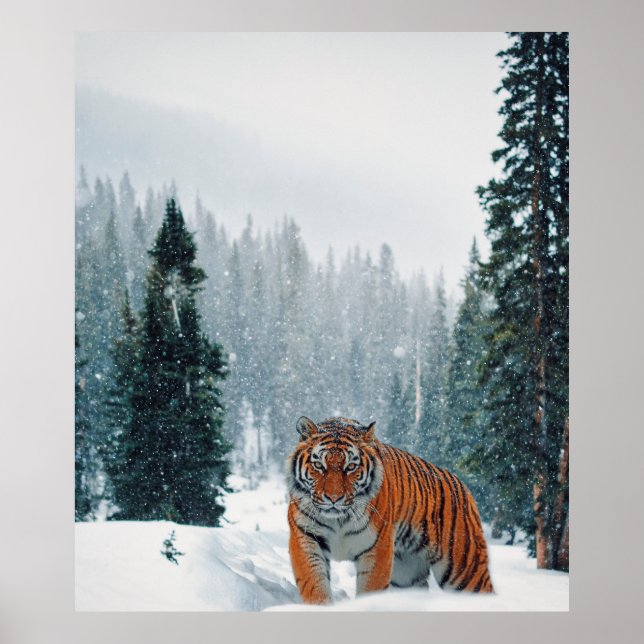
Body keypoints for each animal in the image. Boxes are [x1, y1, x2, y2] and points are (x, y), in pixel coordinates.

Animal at [286, 416, 494, 604]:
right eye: (318, 465)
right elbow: (314, 584)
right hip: (407, 573)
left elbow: (370, 589)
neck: (338, 519)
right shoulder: (306, 538)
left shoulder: (377, 548)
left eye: (351, 467)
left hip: (465, 569)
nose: (334, 498)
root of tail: (462, 485)